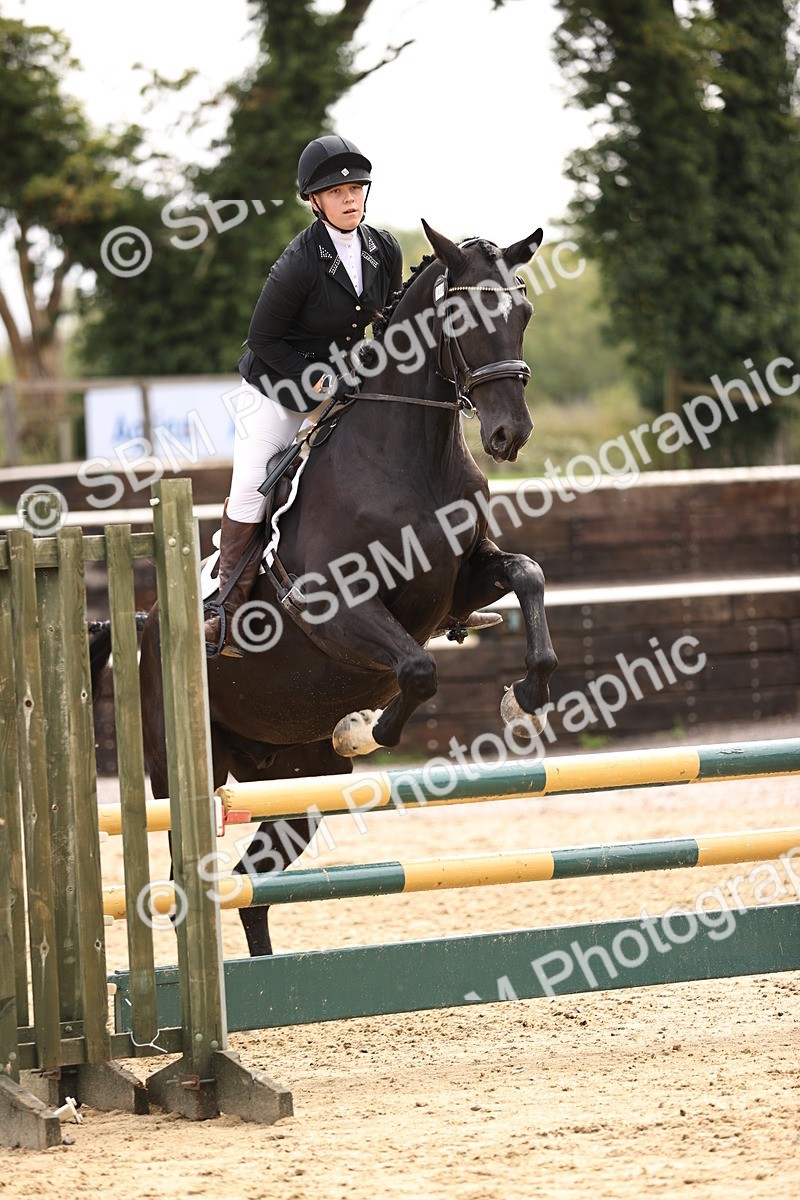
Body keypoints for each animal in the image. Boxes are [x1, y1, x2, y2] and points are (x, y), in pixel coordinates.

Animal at [93, 221, 558, 957]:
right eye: (460, 318)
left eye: (524, 312)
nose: (509, 435)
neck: (410, 458)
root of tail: (143, 626)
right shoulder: (335, 607)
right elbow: (419, 670)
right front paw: (362, 731)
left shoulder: (455, 590)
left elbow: (526, 575)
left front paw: (527, 695)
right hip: (182, 768)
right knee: (188, 878)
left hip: (294, 787)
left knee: (248, 886)